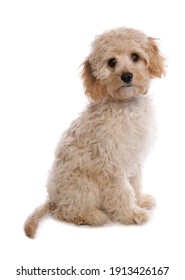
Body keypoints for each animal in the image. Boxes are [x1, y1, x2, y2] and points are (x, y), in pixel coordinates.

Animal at [24, 26, 165, 238]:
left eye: (135, 56)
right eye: (112, 62)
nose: (126, 76)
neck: (126, 106)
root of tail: (52, 200)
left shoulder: (134, 157)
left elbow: (135, 182)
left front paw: (140, 201)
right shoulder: (111, 163)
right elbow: (123, 190)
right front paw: (130, 213)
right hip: (81, 183)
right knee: (65, 211)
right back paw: (90, 216)